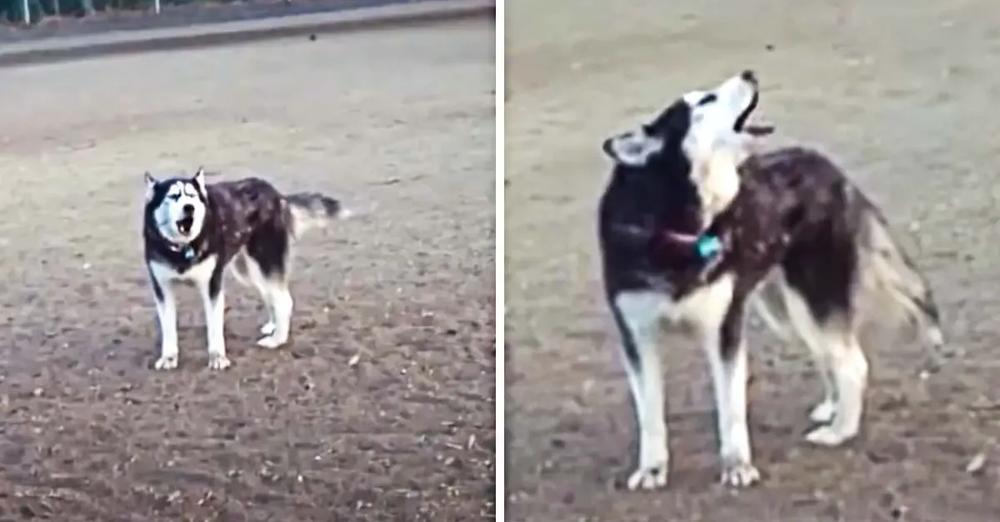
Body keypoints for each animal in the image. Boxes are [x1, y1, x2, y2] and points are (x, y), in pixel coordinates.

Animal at [143, 168, 350, 370]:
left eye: (191, 196)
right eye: (173, 196)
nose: (189, 207)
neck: (182, 249)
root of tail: (275, 194)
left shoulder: (212, 286)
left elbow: (214, 328)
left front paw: (217, 357)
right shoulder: (162, 289)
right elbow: (168, 328)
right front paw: (169, 357)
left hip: (265, 263)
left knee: (284, 301)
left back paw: (277, 340)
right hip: (249, 272)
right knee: (270, 295)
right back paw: (273, 325)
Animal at [596, 70, 940, 488]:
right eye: (705, 101)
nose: (750, 73)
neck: (673, 221)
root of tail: (827, 166)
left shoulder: (724, 331)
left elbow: (731, 410)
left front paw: (737, 466)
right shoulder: (637, 335)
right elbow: (649, 415)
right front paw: (651, 469)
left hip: (811, 301)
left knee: (853, 363)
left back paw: (840, 432)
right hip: (787, 312)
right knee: (830, 355)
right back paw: (832, 408)